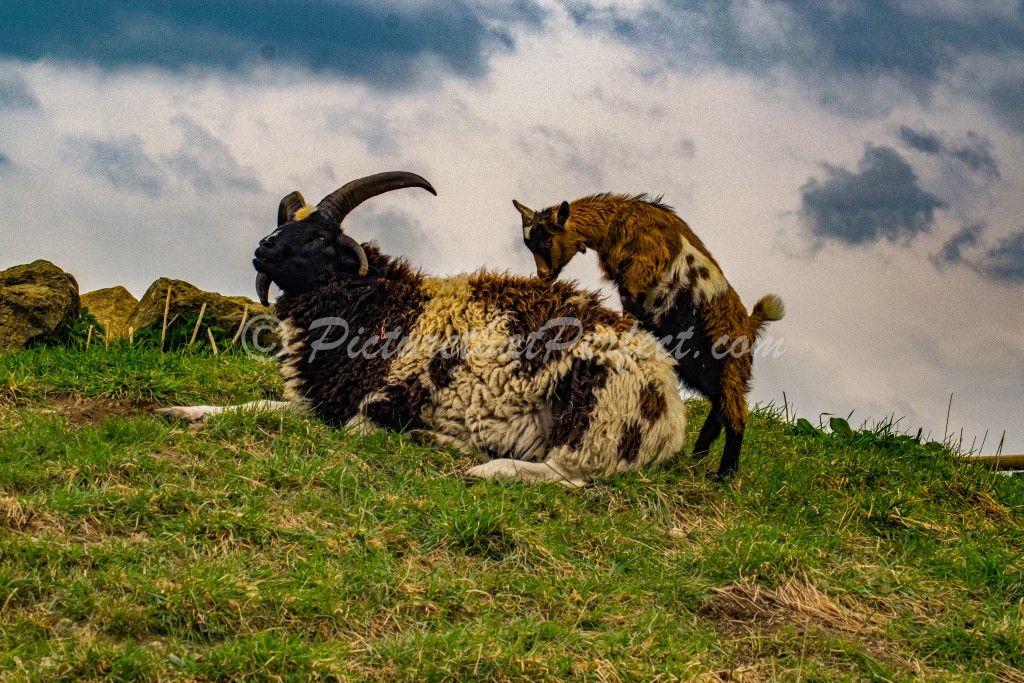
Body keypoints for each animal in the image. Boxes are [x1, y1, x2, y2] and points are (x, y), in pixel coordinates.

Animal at [159, 173, 687, 487]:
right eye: (287, 225)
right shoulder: (326, 397)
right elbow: (260, 407)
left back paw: (481, 464)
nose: (262, 249)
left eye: (321, 238)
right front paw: (181, 411)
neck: (383, 307)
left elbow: (342, 430)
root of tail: (670, 411)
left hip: (592, 414)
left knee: (569, 476)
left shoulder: (383, 400)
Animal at [512, 193, 784, 479]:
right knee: (719, 409)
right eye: (529, 244)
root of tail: (750, 325)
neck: (618, 221)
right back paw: (697, 458)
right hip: (701, 368)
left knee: (736, 413)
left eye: (547, 241)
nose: (543, 276)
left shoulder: (636, 284)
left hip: (729, 366)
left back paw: (724, 476)